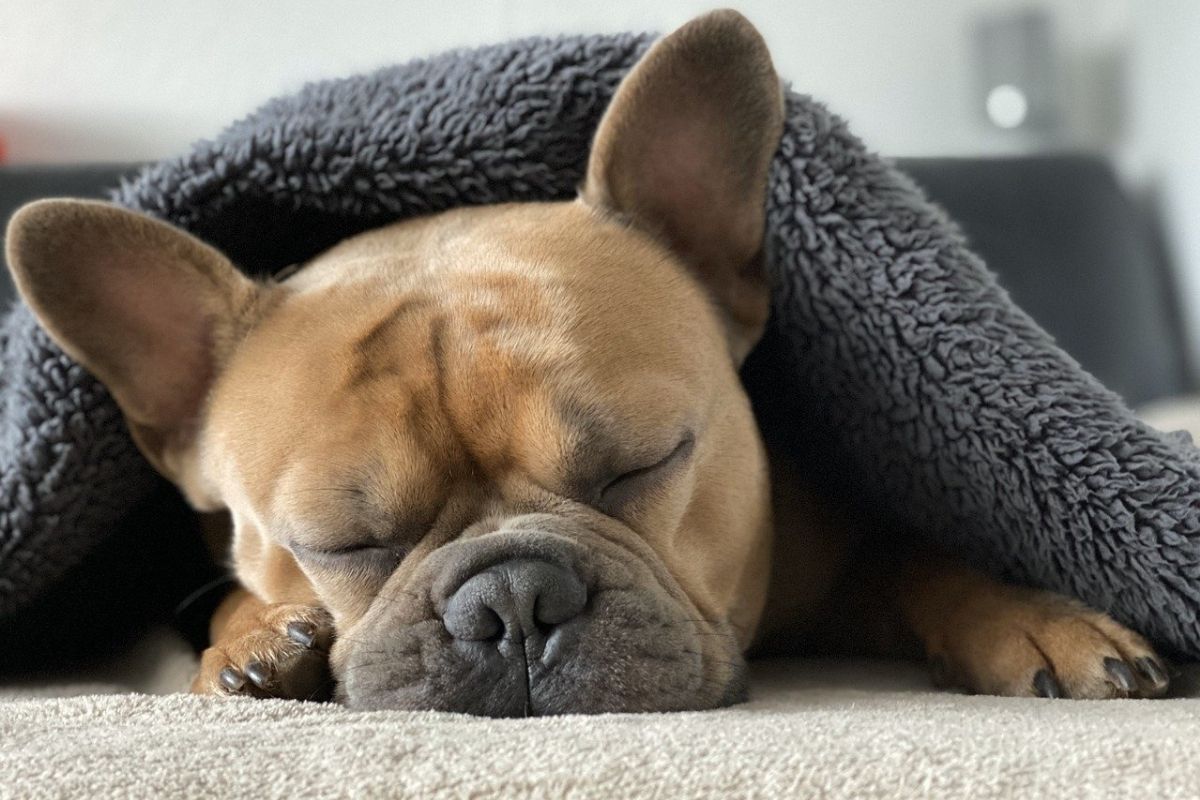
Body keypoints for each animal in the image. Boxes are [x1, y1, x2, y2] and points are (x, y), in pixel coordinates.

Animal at [7, 10, 1171, 714]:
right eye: (342, 540)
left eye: (644, 465)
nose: (512, 599)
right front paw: (254, 637)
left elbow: (924, 555)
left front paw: (1032, 615)